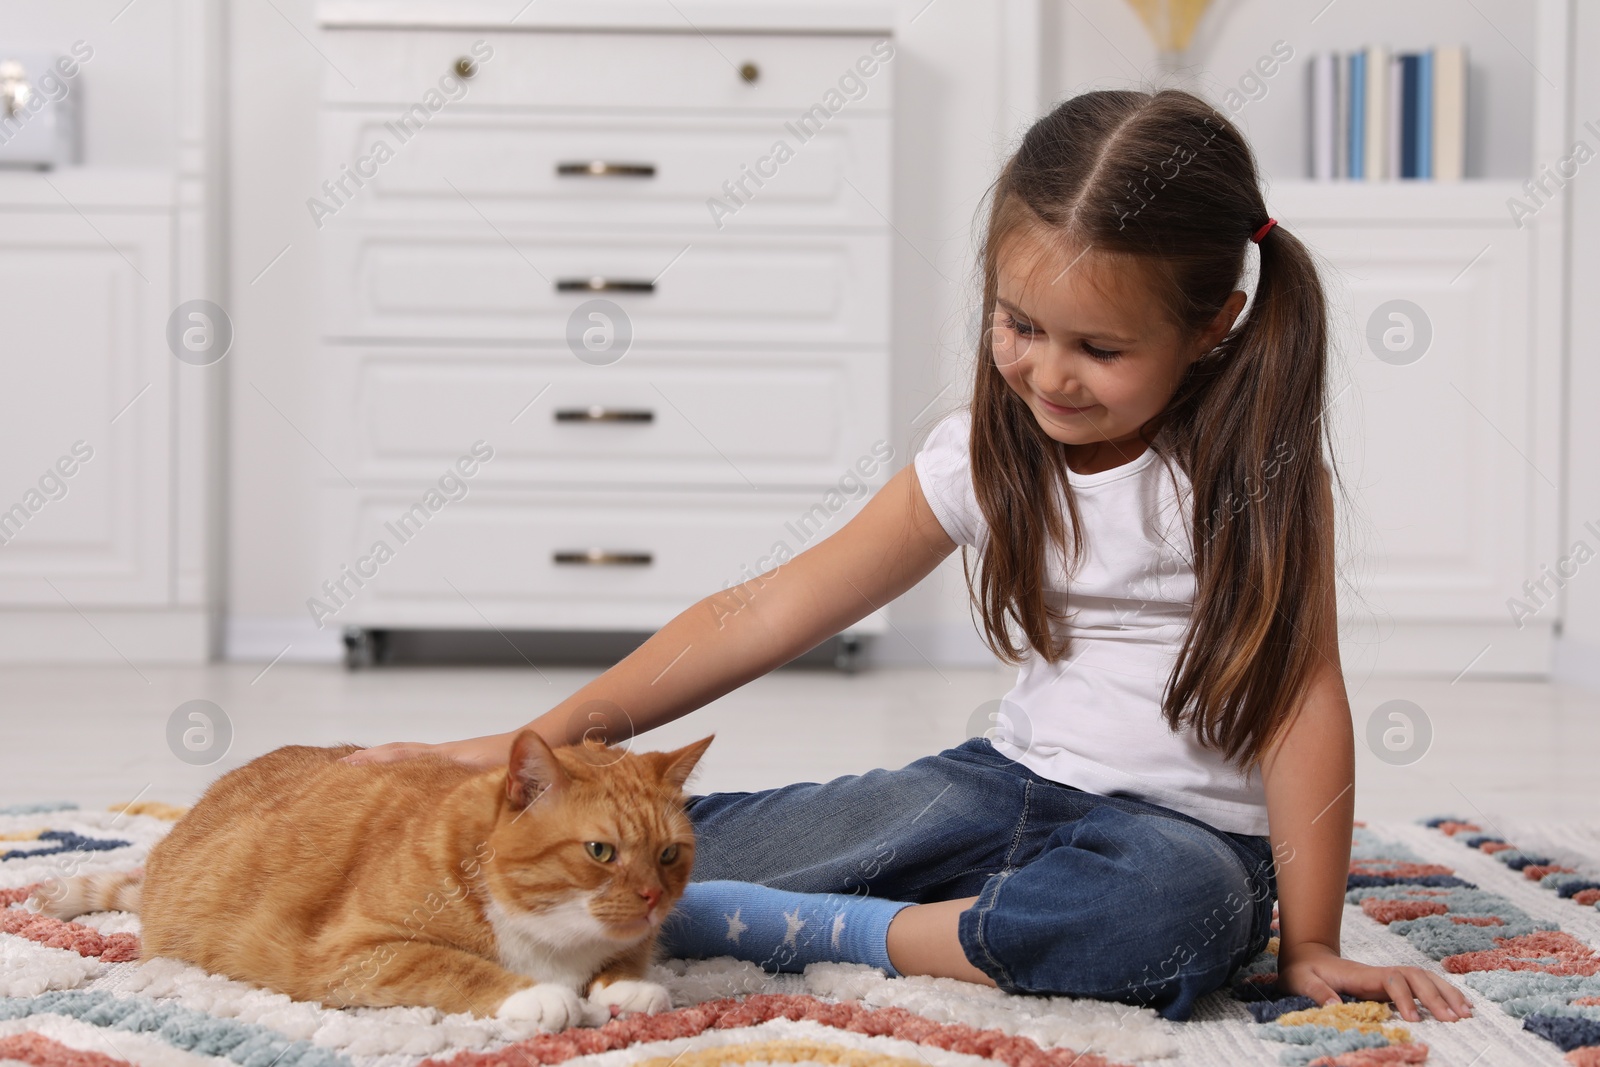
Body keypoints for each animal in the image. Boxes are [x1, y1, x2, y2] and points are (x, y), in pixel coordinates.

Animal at [32, 735, 713, 1023]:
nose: (652, 900)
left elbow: (625, 962)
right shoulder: (352, 954)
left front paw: (629, 988)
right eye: (601, 851)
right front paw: (538, 995)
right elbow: (452, 965)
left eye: (669, 855)